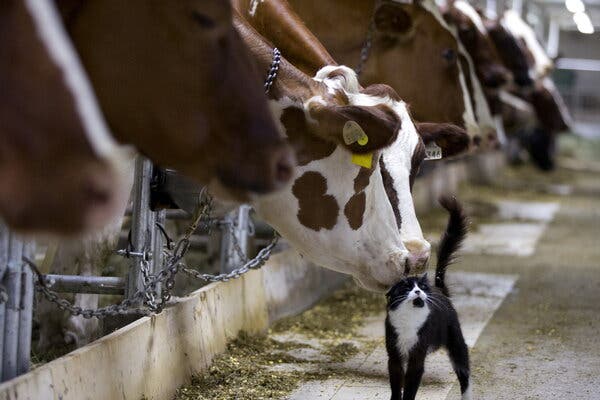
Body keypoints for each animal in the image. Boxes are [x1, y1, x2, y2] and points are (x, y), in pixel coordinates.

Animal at [386, 196, 472, 400]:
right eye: (406, 287)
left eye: (422, 287)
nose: (418, 291)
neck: (408, 319)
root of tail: (440, 290)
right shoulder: (394, 355)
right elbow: (396, 383)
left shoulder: (417, 356)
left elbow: (410, 385)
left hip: (456, 342)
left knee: (464, 371)